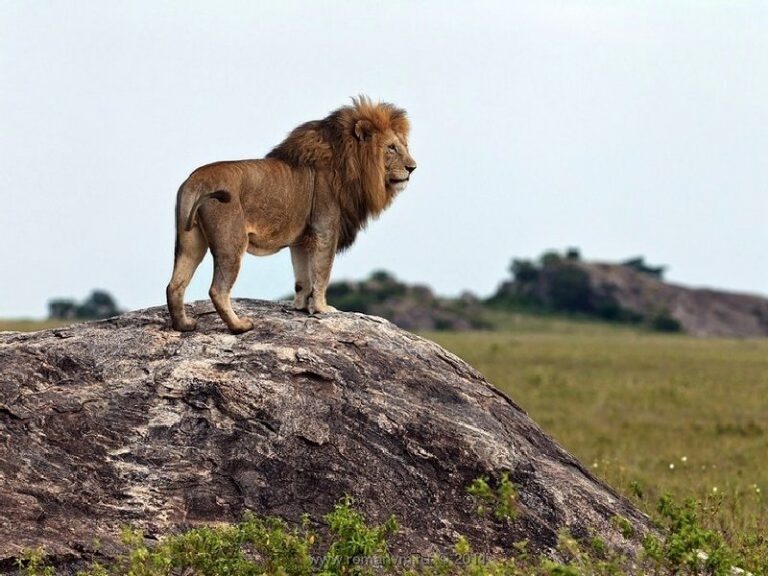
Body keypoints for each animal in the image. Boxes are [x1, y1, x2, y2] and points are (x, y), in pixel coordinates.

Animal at [164, 97, 414, 336]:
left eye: (404, 146)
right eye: (391, 148)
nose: (413, 167)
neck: (350, 166)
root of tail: (195, 181)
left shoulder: (302, 239)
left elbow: (302, 278)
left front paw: (302, 307)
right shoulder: (325, 230)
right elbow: (322, 272)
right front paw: (322, 309)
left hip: (190, 241)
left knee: (174, 285)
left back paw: (184, 325)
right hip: (231, 242)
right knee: (217, 290)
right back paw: (239, 326)